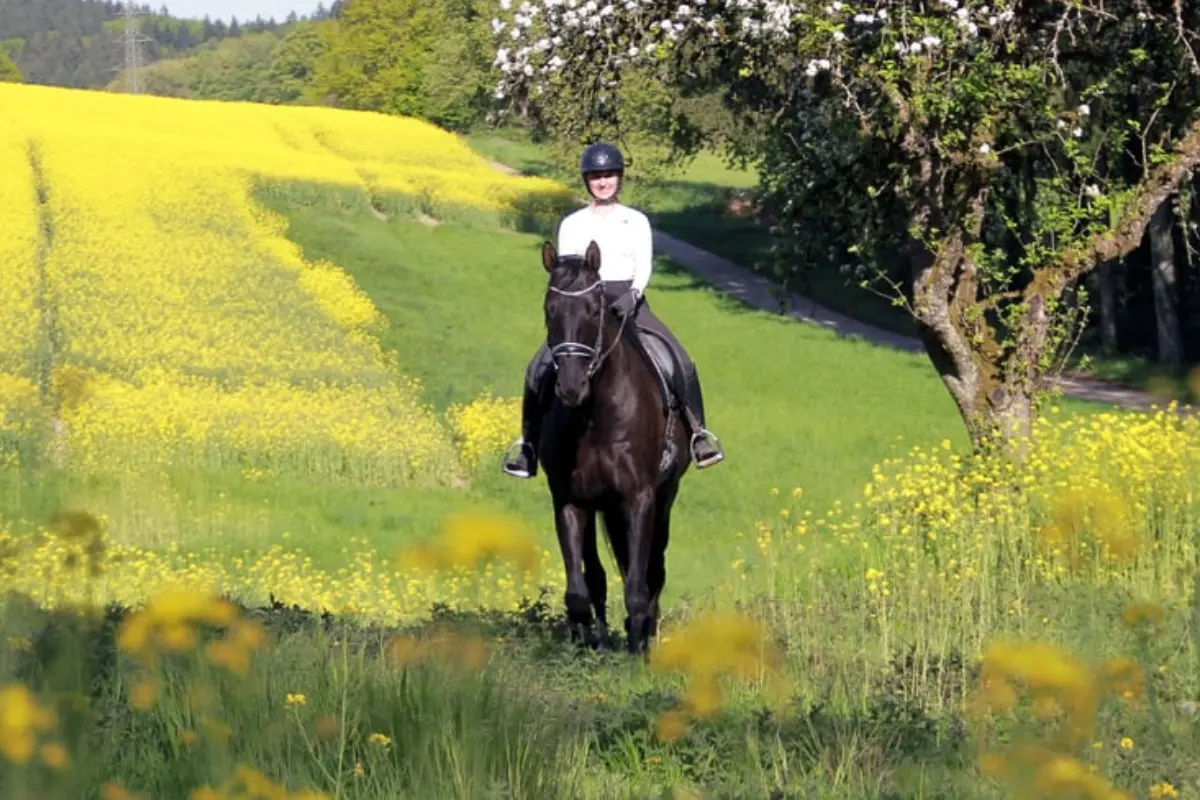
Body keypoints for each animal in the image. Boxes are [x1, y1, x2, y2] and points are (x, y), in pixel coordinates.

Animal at [533, 239, 692, 655]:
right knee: (602, 575)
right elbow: (581, 589)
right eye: (549, 309)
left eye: (594, 310)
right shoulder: (571, 501)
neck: (595, 416)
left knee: (654, 570)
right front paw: (592, 645)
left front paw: (637, 651)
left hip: (664, 498)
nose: (571, 387)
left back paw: (646, 635)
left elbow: (638, 585)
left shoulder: (640, 498)